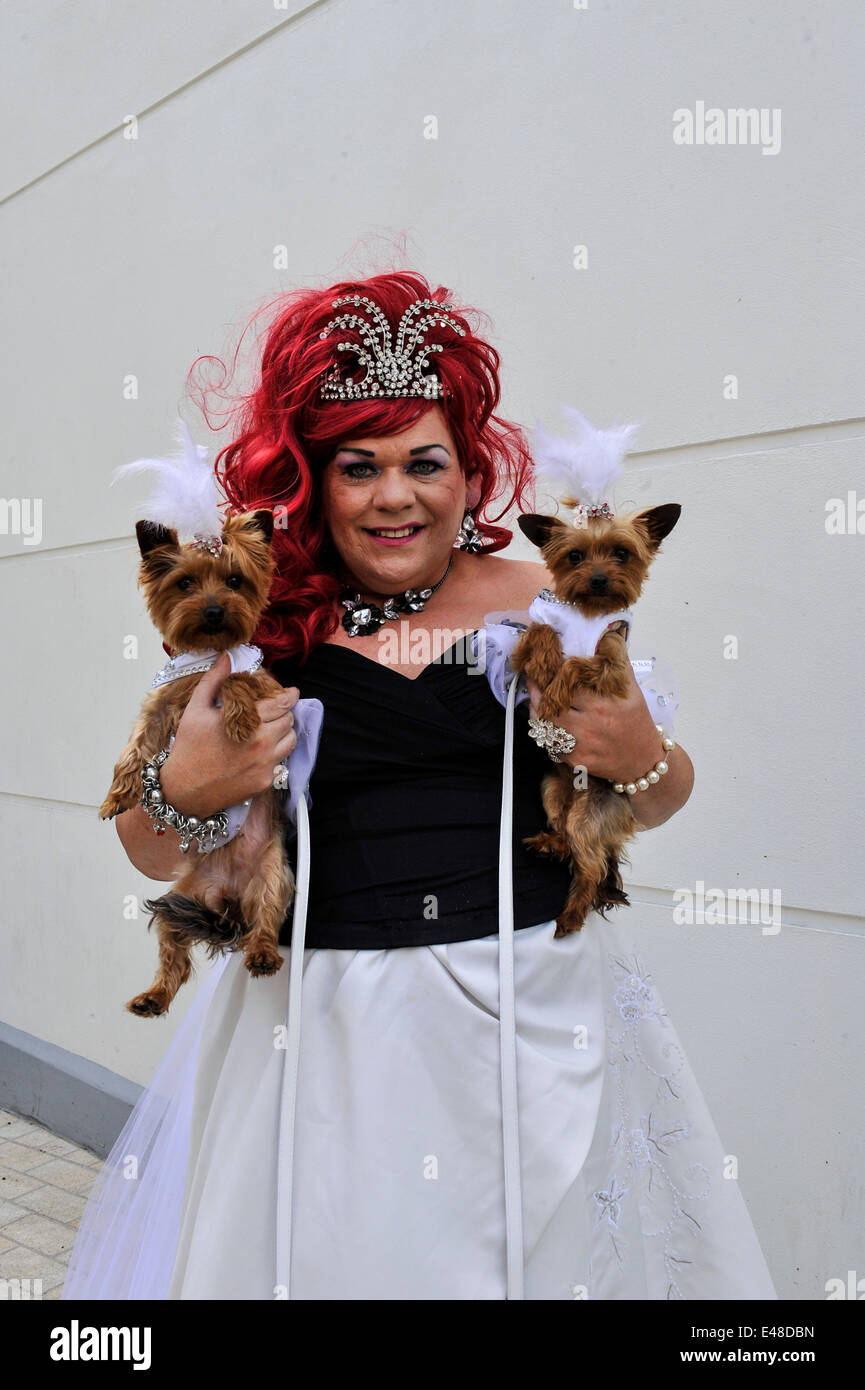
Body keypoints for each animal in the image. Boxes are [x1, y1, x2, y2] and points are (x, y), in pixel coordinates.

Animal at [100, 517, 296, 1017]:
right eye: (185, 583)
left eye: (235, 581)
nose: (212, 611)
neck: (207, 654)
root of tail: (228, 901)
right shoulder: (159, 708)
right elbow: (134, 749)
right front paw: (117, 796)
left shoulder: (268, 688)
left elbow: (237, 680)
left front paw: (239, 717)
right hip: (182, 898)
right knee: (175, 957)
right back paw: (152, 997)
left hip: (273, 874)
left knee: (266, 921)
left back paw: (262, 954)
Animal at [508, 494, 684, 939]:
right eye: (575, 557)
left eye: (622, 554)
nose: (600, 580)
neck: (586, 613)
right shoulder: (520, 651)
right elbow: (540, 634)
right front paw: (549, 661)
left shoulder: (615, 670)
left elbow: (577, 664)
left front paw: (555, 691)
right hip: (552, 789)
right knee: (566, 834)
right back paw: (551, 843)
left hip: (592, 816)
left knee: (589, 865)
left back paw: (571, 917)